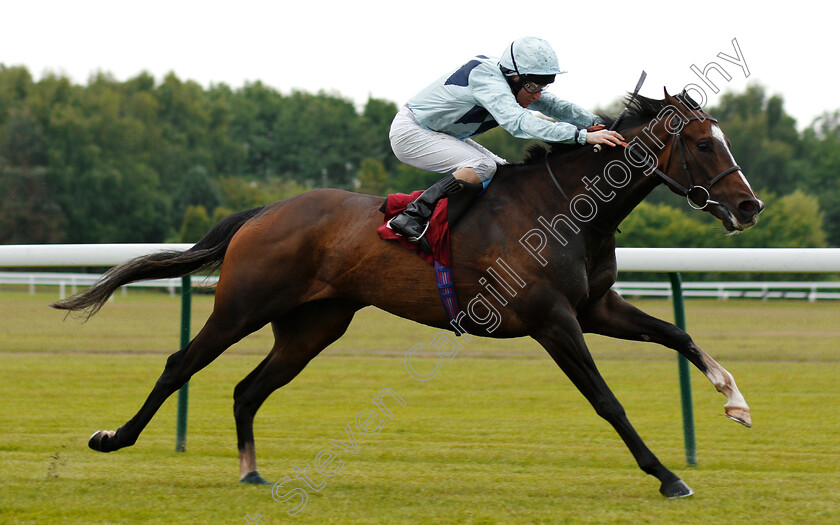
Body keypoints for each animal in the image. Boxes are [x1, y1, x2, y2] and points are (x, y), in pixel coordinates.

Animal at [50, 88, 760, 498]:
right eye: (703, 143)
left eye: (722, 138)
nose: (749, 207)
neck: (567, 211)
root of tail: (265, 211)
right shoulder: (552, 319)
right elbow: (607, 400)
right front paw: (668, 476)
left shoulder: (594, 307)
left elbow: (677, 333)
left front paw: (735, 401)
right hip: (243, 306)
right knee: (181, 364)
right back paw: (114, 438)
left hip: (314, 325)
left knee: (247, 389)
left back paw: (251, 470)